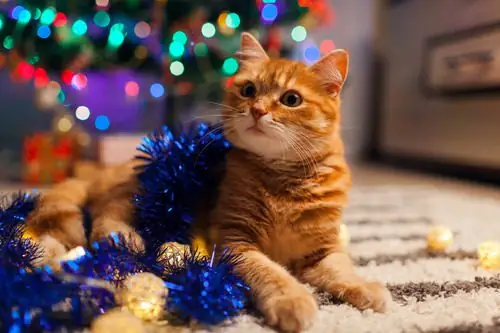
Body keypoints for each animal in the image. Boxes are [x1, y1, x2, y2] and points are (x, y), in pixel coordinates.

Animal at [26, 33, 390, 332]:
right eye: (248, 90)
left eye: (291, 99)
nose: (257, 110)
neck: (283, 181)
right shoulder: (236, 241)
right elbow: (272, 273)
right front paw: (293, 300)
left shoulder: (323, 249)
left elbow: (341, 269)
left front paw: (365, 288)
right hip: (139, 192)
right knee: (105, 212)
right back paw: (124, 237)